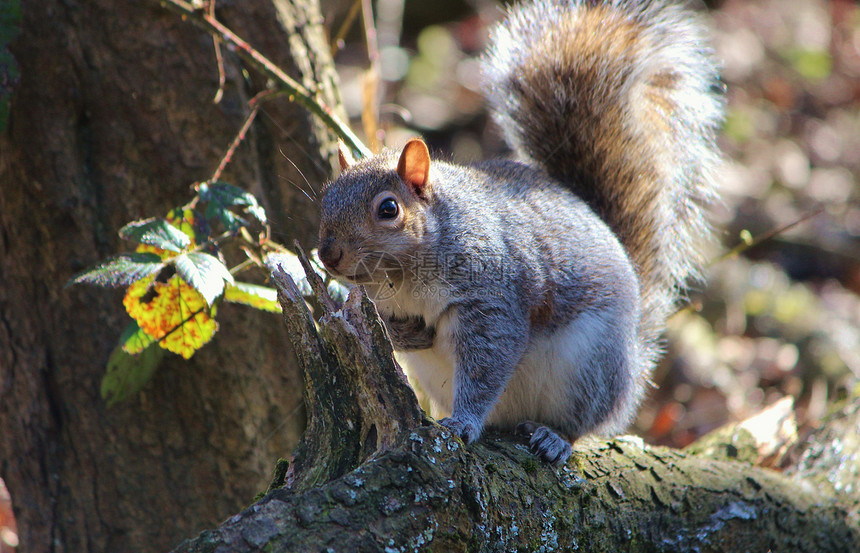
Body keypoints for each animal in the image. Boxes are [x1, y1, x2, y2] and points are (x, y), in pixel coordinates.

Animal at [320, 0, 724, 464]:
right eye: (325, 197)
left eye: (388, 209)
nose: (327, 254)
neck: (401, 278)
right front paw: (408, 334)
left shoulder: (492, 298)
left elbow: (488, 363)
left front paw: (463, 422)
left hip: (590, 365)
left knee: (585, 421)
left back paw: (554, 437)